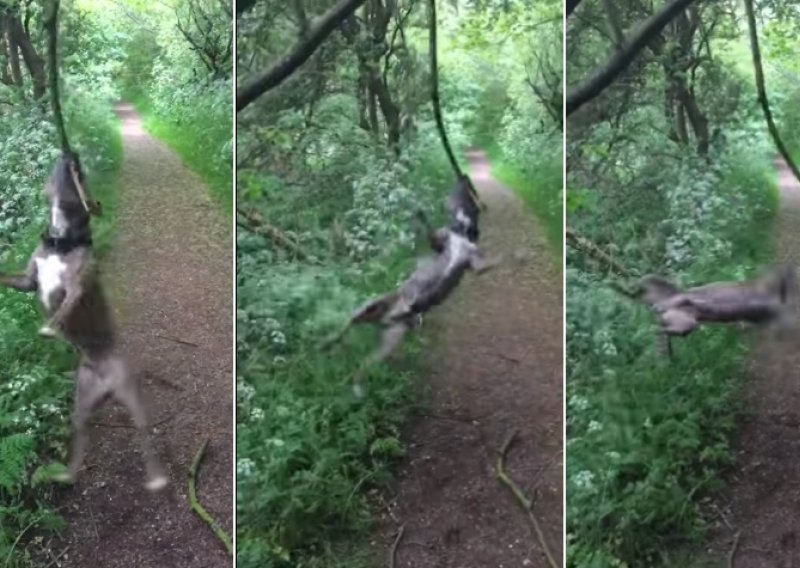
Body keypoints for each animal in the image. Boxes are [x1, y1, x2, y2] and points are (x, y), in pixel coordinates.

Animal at [0, 153, 167, 490]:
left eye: (81, 174)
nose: (71, 155)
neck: (60, 239)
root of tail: (105, 381)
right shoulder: (27, 281)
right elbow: (8, 277)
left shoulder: (75, 289)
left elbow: (63, 309)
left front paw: (49, 328)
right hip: (81, 405)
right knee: (80, 438)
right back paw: (67, 473)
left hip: (131, 396)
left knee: (144, 433)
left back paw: (156, 476)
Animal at [324, 173, 500, 394]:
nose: (467, 210)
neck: (460, 237)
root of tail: (390, 316)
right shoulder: (445, 244)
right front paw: (419, 211)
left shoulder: (470, 259)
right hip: (374, 308)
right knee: (347, 327)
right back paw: (329, 344)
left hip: (388, 338)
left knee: (362, 362)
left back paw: (348, 375)